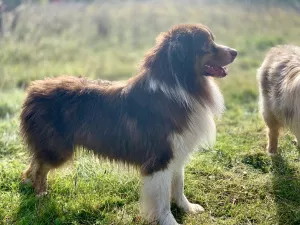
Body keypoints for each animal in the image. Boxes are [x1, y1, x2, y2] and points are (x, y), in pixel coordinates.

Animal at [20, 23, 237, 224]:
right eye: (207, 45)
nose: (235, 52)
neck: (180, 85)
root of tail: (34, 89)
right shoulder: (161, 158)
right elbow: (162, 200)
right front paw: (169, 220)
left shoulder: (178, 153)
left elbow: (179, 185)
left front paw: (188, 208)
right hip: (58, 149)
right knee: (40, 168)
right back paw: (40, 197)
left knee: (34, 163)